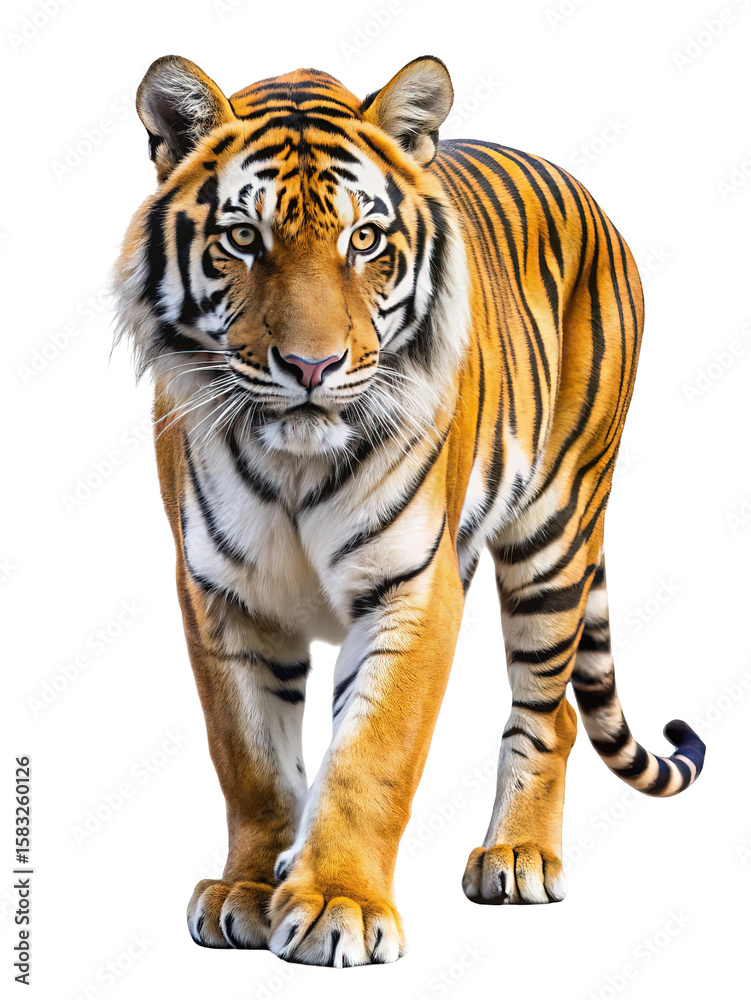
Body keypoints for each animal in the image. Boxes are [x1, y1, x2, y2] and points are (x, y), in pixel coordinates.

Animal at [114, 53, 706, 967]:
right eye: (243, 240)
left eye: (364, 241)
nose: (311, 368)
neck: (295, 461)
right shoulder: (220, 594)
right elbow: (250, 757)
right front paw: (248, 888)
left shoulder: (414, 588)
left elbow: (372, 755)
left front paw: (338, 905)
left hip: (555, 531)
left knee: (551, 711)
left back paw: (517, 856)